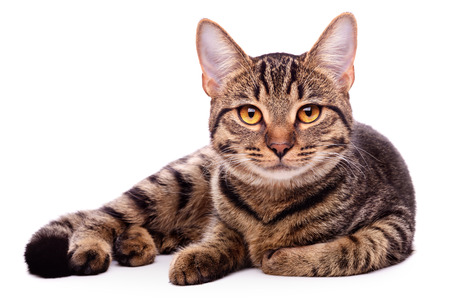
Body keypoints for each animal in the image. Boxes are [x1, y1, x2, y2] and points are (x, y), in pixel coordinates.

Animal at [23, 12, 414, 284]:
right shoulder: (220, 213)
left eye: (309, 113)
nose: (280, 145)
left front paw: (283, 257)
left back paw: (136, 243)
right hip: (179, 180)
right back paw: (96, 245)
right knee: (101, 215)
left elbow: (352, 248)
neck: (272, 201)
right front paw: (204, 255)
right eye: (250, 114)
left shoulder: (395, 224)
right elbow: (223, 234)